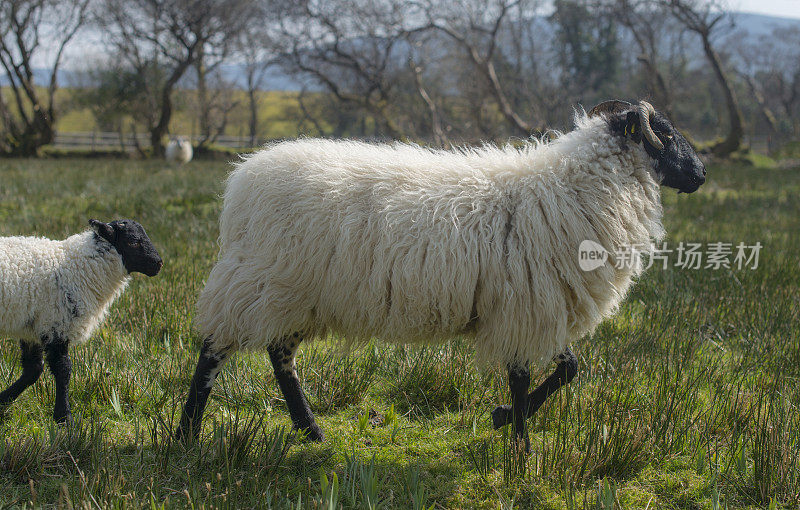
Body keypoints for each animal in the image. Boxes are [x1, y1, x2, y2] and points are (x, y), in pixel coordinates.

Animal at [0, 219, 162, 422]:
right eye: (132, 241)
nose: (158, 264)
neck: (79, 267)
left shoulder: (34, 327)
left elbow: (33, 370)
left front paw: (2, 400)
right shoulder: (56, 323)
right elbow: (63, 370)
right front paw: (64, 417)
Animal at [177, 100, 708, 450]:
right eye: (664, 132)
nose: (702, 174)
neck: (578, 189)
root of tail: (242, 181)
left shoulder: (537, 305)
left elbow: (568, 368)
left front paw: (503, 420)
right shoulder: (524, 303)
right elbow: (522, 377)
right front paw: (521, 449)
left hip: (295, 294)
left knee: (278, 355)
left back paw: (310, 430)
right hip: (259, 281)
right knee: (213, 350)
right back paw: (187, 434)